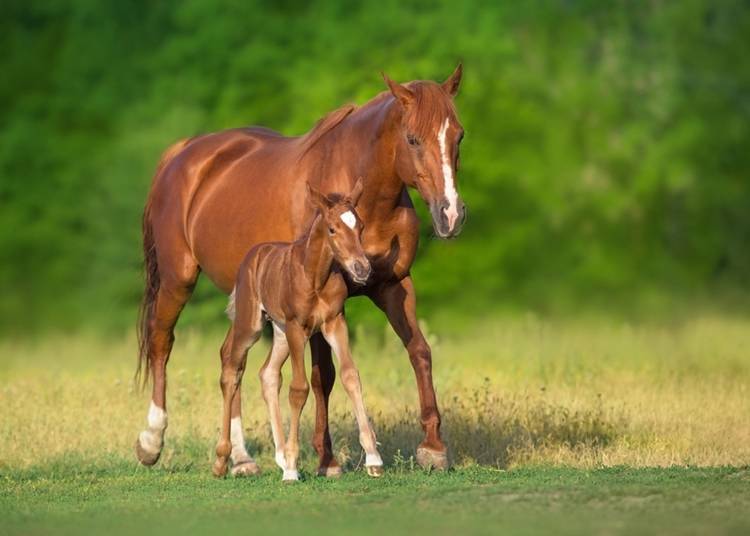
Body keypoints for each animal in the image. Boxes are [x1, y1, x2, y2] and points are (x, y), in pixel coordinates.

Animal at [213, 180, 384, 482]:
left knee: (268, 374)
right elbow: (299, 388)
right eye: (332, 228)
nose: (362, 268)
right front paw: (293, 468)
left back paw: (280, 456)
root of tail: (252, 257)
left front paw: (373, 458)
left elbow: (351, 376)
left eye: (360, 226)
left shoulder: (334, 323)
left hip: (280, 333)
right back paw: (223, 460)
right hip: (251, 326)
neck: (314, 276)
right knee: (231, 371)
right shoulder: (297, 328)